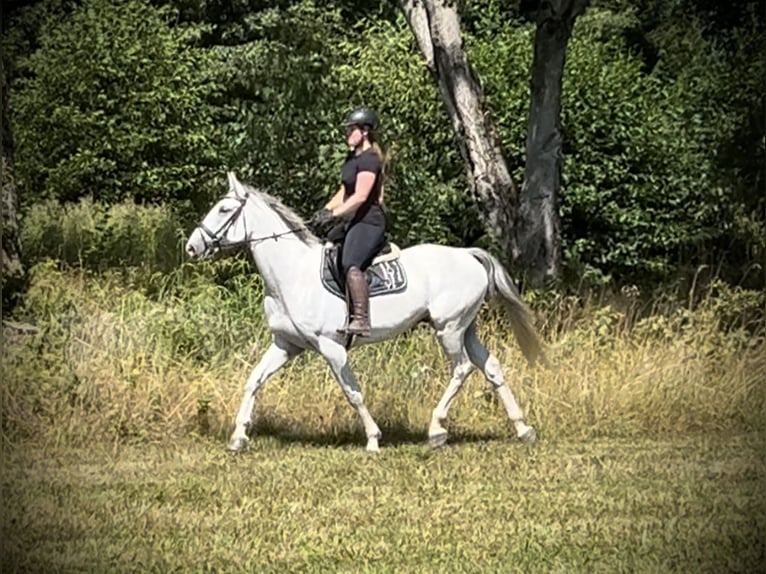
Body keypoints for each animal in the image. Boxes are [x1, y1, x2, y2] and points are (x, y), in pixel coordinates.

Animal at [185, 173, 544, 452]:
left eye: (225, 209)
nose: (192, 247)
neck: (291, 275)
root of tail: (469, 255)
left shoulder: (331, 347)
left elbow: (352, 393)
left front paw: (372, 439)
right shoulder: (286, 345)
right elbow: (254, 381)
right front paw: (238, 437)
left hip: (449, 328)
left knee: (462, 369)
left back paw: (437, 430)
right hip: (466, 328)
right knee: (491, 367)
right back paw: (523, 429)